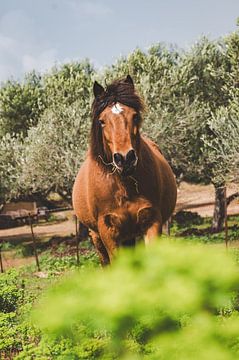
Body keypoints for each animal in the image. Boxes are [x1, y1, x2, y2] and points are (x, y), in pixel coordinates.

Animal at [72, 76, 176, 266]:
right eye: (102, 121)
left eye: (134, 116)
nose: (125, 158)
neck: (123, 186)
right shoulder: (107, 230)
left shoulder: (151, 220)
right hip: (97, 236)